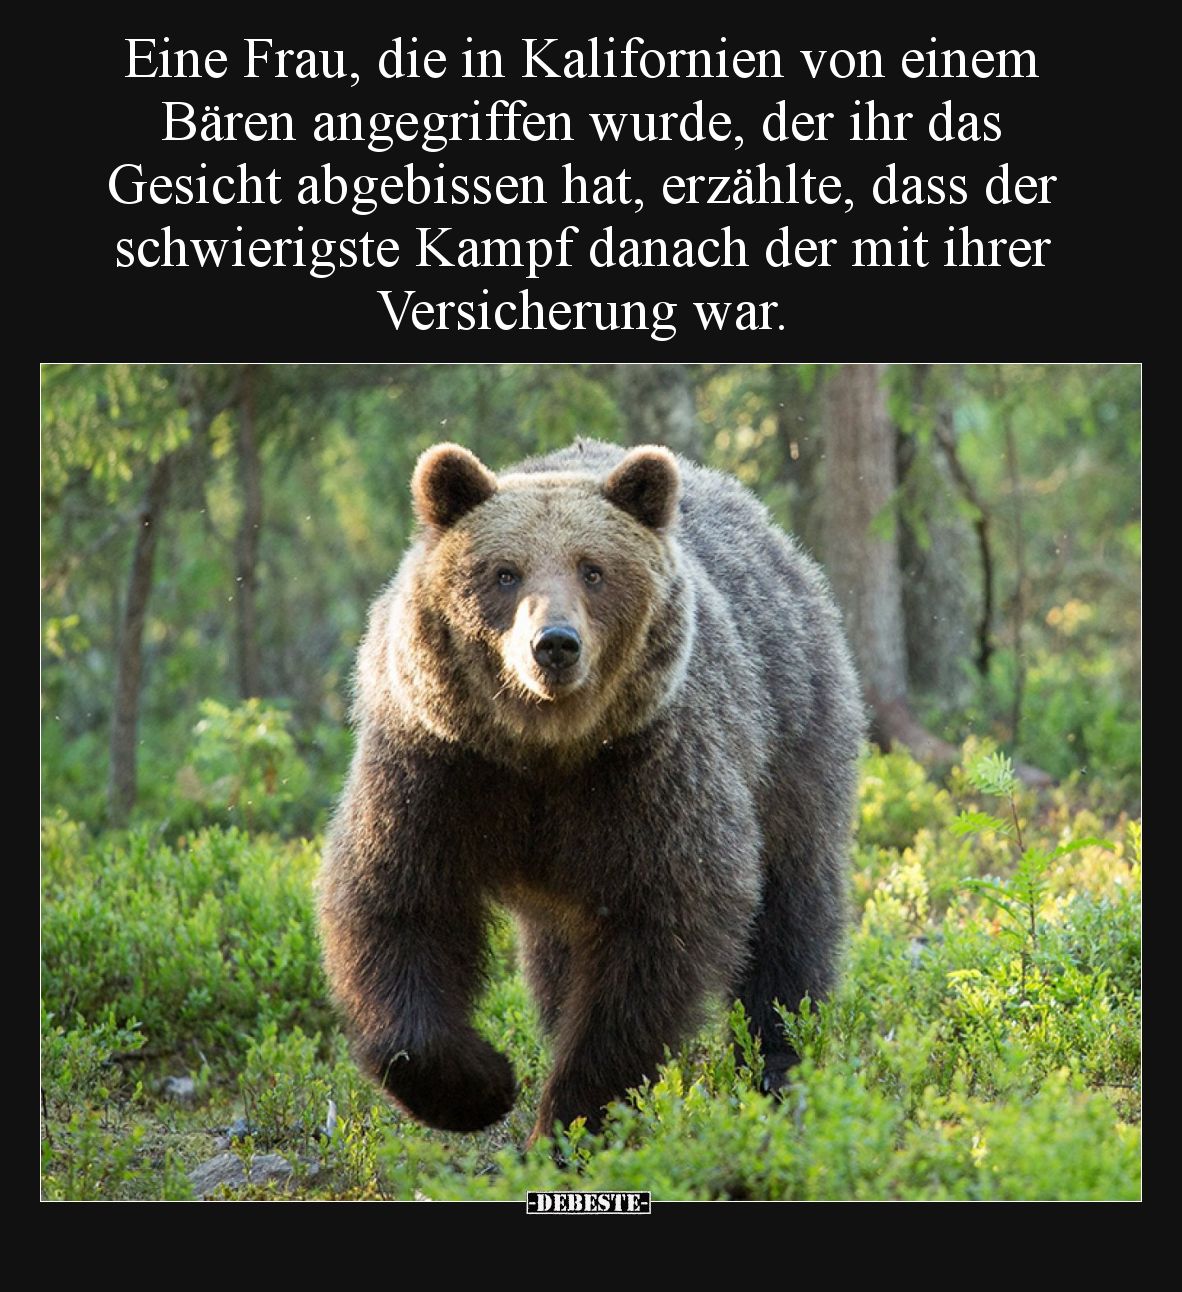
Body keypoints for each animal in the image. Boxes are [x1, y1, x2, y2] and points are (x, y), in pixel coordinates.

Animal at [318, 438, 864, 1145]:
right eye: (504, 572)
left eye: (593, 570)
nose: (554, 644)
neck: (544, 749)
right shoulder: (439, 767)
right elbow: (398, 904)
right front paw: (481, 1084)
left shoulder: (647, 773)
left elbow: (655, 940)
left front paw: (571, 1119)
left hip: (791, 738)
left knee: (791, 913)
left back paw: (780, 1063)